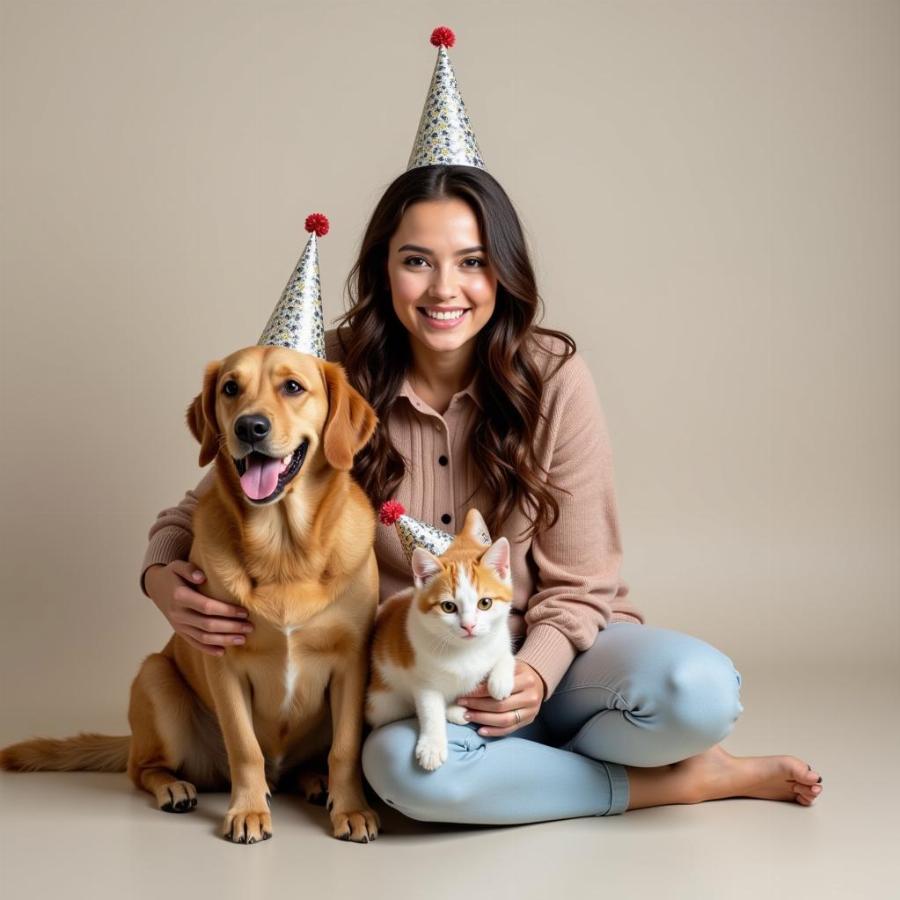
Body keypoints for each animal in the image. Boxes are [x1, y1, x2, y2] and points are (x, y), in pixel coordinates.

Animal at [0, 344, 380, 844]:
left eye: (293, 387)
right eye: (230, 388)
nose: (249, 427)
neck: (283, 549)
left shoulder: (352, 662)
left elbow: (345, 748)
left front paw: (350, 807)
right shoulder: (223, 662)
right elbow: (244, 746)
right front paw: (248, 811)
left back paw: (314, 781)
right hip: (156, 679)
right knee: (141, 768)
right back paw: (173, 788)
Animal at [366, 510, 512, 768]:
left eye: (485, 603)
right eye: (448, 607)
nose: (469, 626)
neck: (465, 649)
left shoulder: (500, 636)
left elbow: (505, 653)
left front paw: (501, 680)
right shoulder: (423, 680)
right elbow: (430, 710)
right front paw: (432, 745)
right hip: (383, 704)